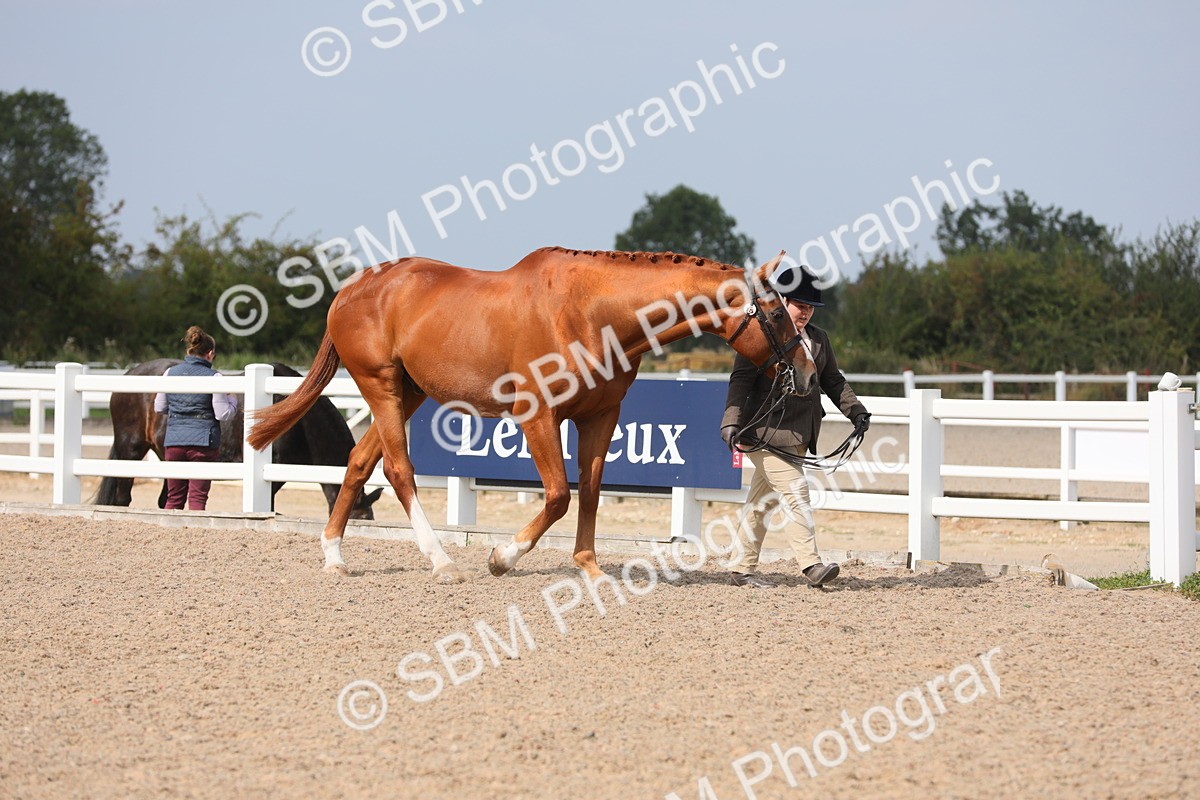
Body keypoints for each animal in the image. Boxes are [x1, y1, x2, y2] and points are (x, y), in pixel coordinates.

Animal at [247, 247, 815, 581]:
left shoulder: (600, 417)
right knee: (397, 468)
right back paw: (441, 560)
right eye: (777, 314)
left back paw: (334, 556)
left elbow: (590, 491)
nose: (808, 375)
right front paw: (502, 557)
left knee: (360, 463)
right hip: (381, 386)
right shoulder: (538, 415)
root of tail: (349, 290)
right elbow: (559, 495)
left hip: (409, 392)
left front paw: (590, 569)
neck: (591, 312)